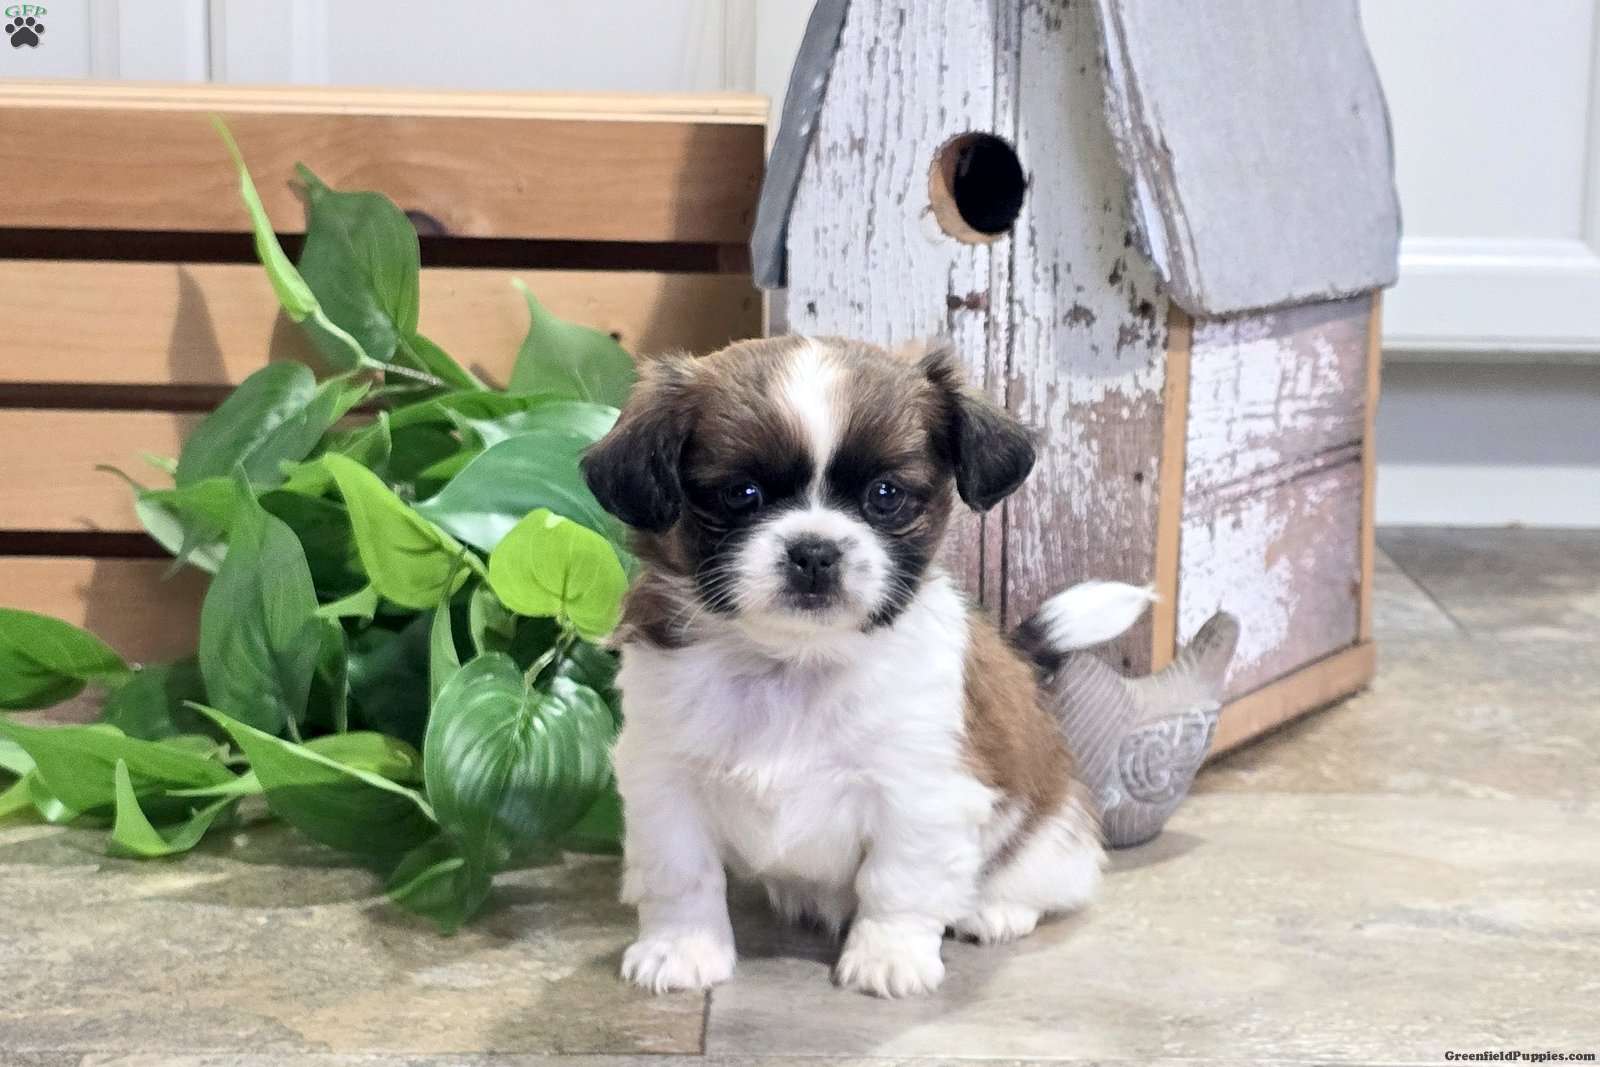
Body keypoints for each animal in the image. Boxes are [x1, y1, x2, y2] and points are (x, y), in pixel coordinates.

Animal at [581, 336, 1155, 998]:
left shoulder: (920, 791)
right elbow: (681, 872)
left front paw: (889, 954)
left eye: (885, 495)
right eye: (741, 494)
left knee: (1048, 878)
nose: (814, 551)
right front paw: (682, 947)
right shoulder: (663, 778)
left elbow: (898, 881)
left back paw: (994, 909)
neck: (794, 663)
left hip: (1051, 831)